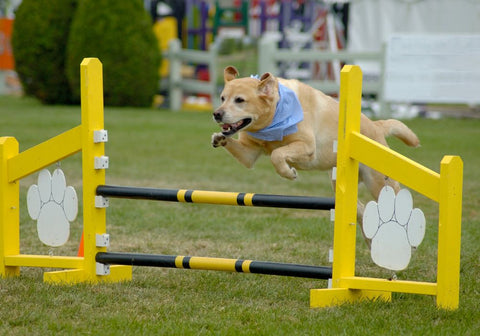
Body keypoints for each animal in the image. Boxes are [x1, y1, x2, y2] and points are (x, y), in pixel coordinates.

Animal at [212, 65, 418, 203]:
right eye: (222, 98)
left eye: (239, 100)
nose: (216, 114)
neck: (273, 117)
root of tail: (377, 126)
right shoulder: (250, 154)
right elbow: (248, 153)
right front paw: (218, 138)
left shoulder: (306, 146)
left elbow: (277, 154)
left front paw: (290, 173)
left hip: (378, 182)